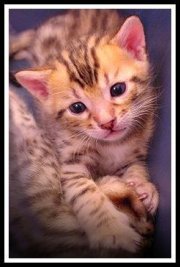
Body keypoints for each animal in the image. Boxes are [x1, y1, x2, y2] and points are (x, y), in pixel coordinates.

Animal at [9, 9, 159, 258]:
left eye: (118, 89)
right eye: (77, 108)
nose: (107, 123)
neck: (111, 146)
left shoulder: (135, 151)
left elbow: (136, 167)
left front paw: (142, 186)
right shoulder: (69, 165)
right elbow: (84, 191)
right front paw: (110, 230)